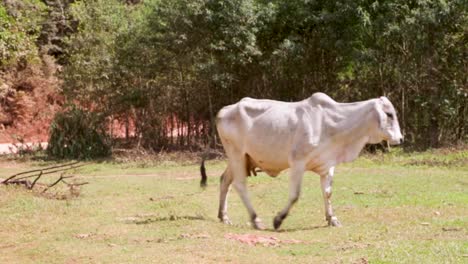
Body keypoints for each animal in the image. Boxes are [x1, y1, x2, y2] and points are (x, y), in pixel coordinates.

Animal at [207, 92, 402, 229]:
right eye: (389, 114)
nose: (400, 139)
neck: (333, 124)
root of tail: (223, 111)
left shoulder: (328, 165)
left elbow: (328, 192)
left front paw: (332, 219)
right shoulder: (297, 162)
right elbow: (295, 195)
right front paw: (278, 220)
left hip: (240, 158)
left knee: (225, 180)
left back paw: (223, 216)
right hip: (237, 154)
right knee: (240, 185)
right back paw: (255, 219)